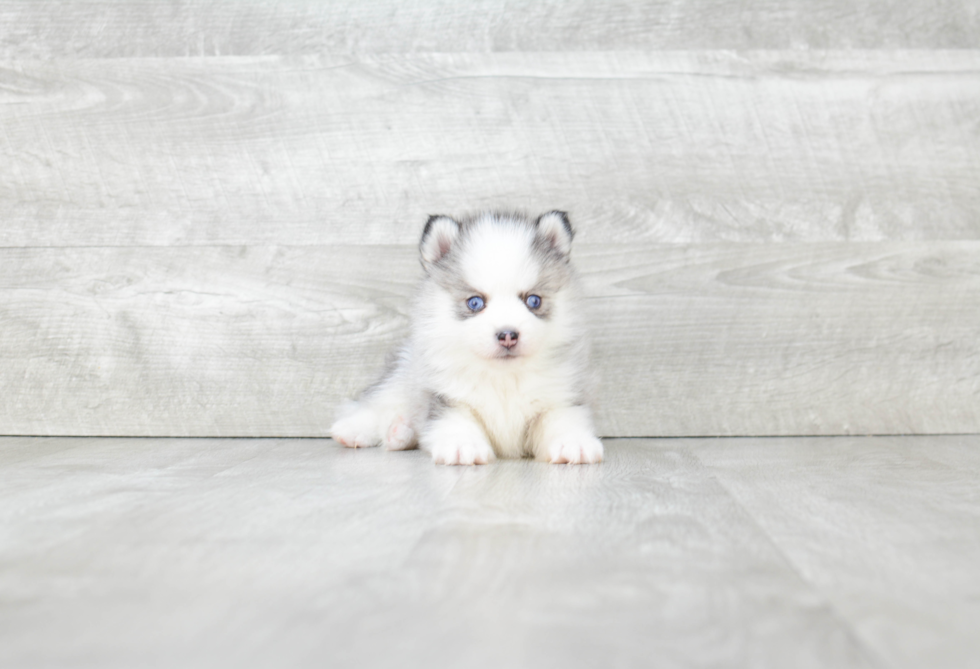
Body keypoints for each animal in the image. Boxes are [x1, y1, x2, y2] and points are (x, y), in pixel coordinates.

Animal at [334, 209, 600, 464]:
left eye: (533, 301)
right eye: (475, 302)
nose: (507, 335)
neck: (503, 379)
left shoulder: (560, 397)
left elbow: (563, 420)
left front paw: (573, 443)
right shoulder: (446, 397)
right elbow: (455, 421)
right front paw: (462, 445)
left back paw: (400, 432)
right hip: (405, 370)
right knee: (381, 399)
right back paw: (355, 430)